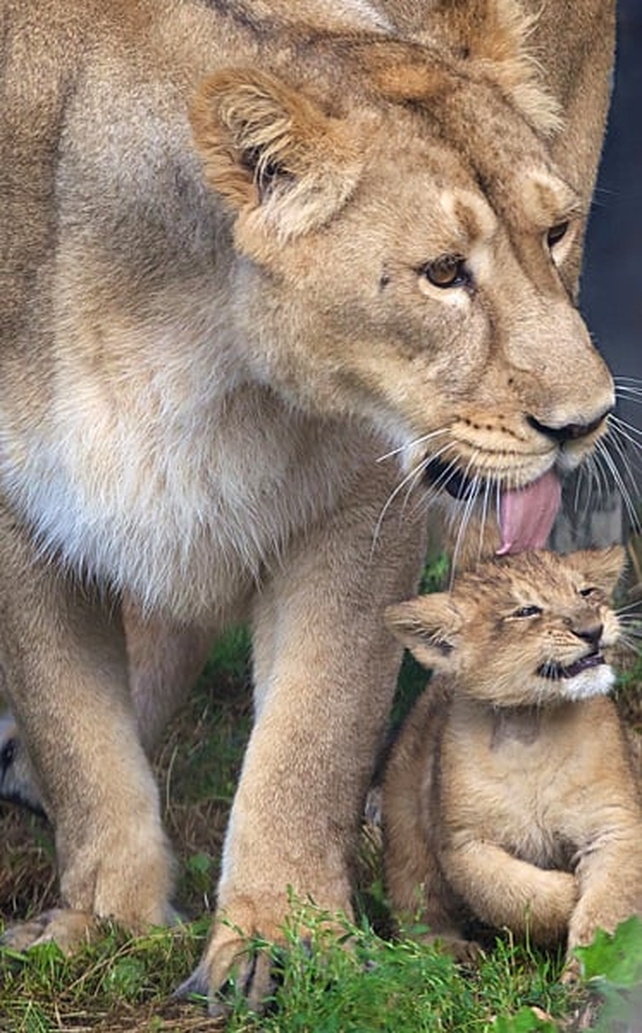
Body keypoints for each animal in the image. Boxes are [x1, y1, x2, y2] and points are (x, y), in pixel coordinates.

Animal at [0, 0, 616, 1012]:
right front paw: (106, 918)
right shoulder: (19, 515)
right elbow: (74, 728)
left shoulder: (364, 501)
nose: (587, 420)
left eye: (556, 232)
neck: (181, 331)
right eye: (442, 272)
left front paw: (280, 940)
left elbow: (312, 733)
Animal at [382, 547, 642, 975]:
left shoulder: (614, 827)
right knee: (415, 908)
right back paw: (452, 953)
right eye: (526, 611)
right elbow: (507, 893)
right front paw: (567, 891)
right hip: (405, 825)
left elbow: (606, 913)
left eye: (585, 592)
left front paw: (587, 977)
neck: (530, 727)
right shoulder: (464, 842)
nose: (592, 629)